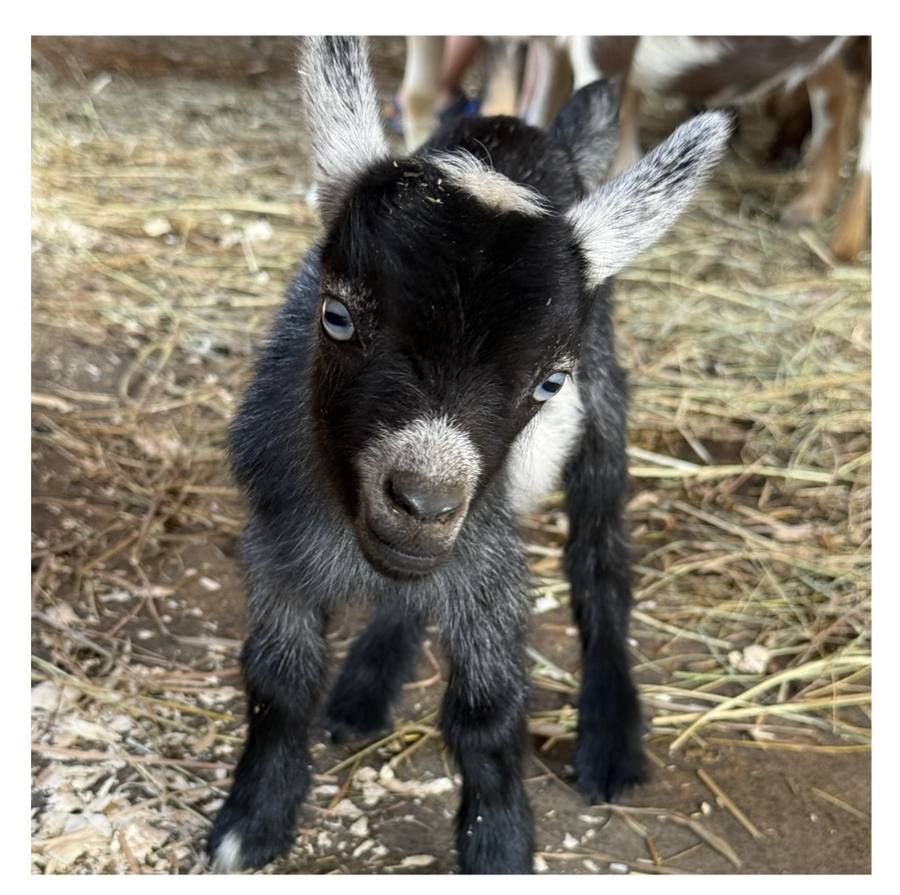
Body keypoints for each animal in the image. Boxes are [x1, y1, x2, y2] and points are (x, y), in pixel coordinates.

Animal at [207, 35, 730, 875]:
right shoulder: (276, 543)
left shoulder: (487, 563)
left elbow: (486, 711)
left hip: (604, 407)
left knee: (600, 555)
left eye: (549, 380)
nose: (425, 501)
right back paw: (367, 683)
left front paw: (498, 847)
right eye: (337, 315)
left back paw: (610, 735)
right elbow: (277, 679)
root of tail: (528, 130)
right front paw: (251, 819)